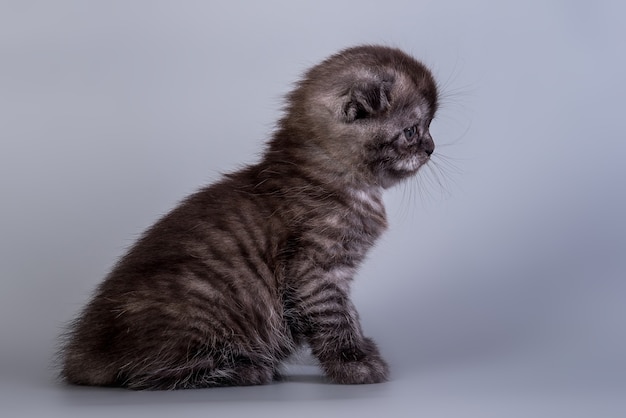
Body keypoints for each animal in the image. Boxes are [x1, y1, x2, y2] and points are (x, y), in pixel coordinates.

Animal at [61, 44, 436, 390]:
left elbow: (351, 315)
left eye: (429, 128)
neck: (338, 178)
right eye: (412, 131)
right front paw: (354, 365)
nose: (431, 148)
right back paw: (244, 369)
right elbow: (335, 319)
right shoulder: (315, 270)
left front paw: (362, 351)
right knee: (149, 373)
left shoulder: (336, 274)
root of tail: (83, 354)